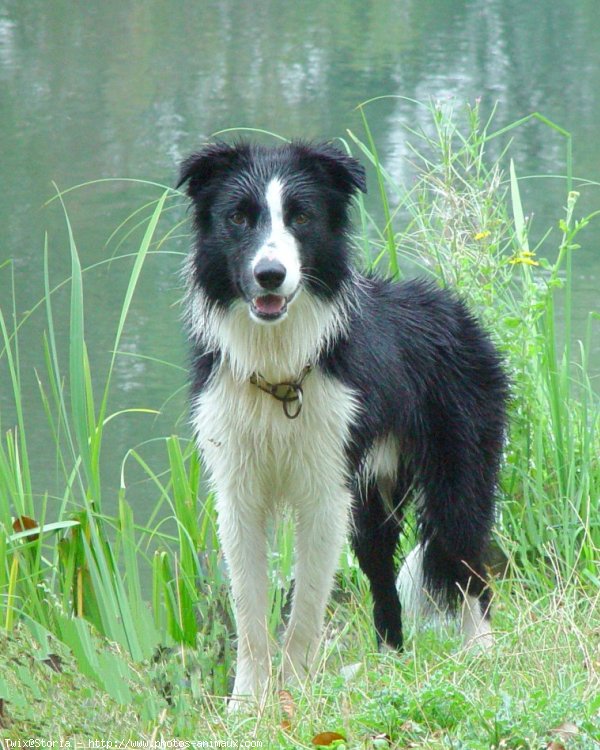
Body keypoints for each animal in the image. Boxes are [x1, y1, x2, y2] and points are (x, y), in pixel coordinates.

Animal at [177, 142, 506, 712]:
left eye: (301, 217)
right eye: (238, 217)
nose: (269, 274)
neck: (280, 371)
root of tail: (455, 307)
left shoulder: (325, 486)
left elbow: (307, 603)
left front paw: (295, 694)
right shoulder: (237, 486)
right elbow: (248, 606)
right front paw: (247, 706)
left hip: (458, 468)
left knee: (464, 562)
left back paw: (481, 654)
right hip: (373, 497)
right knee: (382, 576)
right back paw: (391, 662)